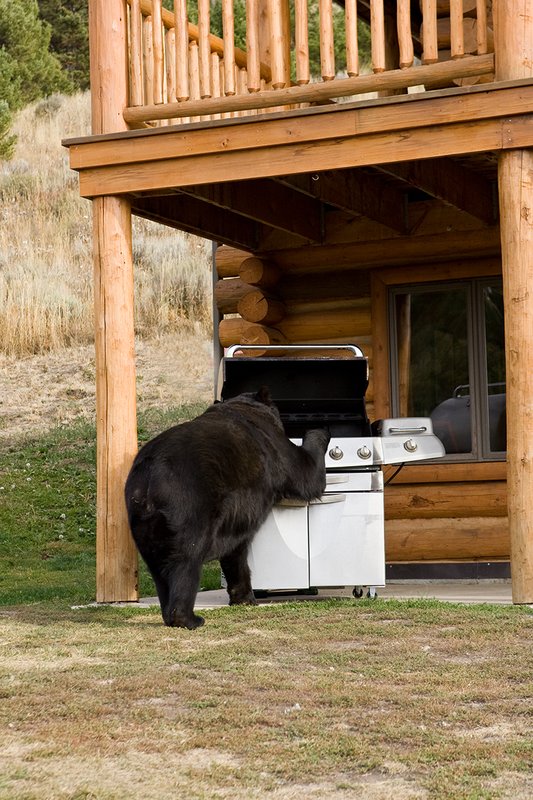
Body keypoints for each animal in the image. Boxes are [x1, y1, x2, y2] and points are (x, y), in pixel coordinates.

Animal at [125, 388, 330, 629]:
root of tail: (149, 479)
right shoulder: (276, 447)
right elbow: (306, 474)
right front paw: (320, 431)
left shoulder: (236, 519)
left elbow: (236, 553)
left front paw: (243, 597)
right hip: (188, 508)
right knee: (187, 560)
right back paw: (189, 618)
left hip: (143, 526)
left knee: (159, 570)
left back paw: (169, 614)